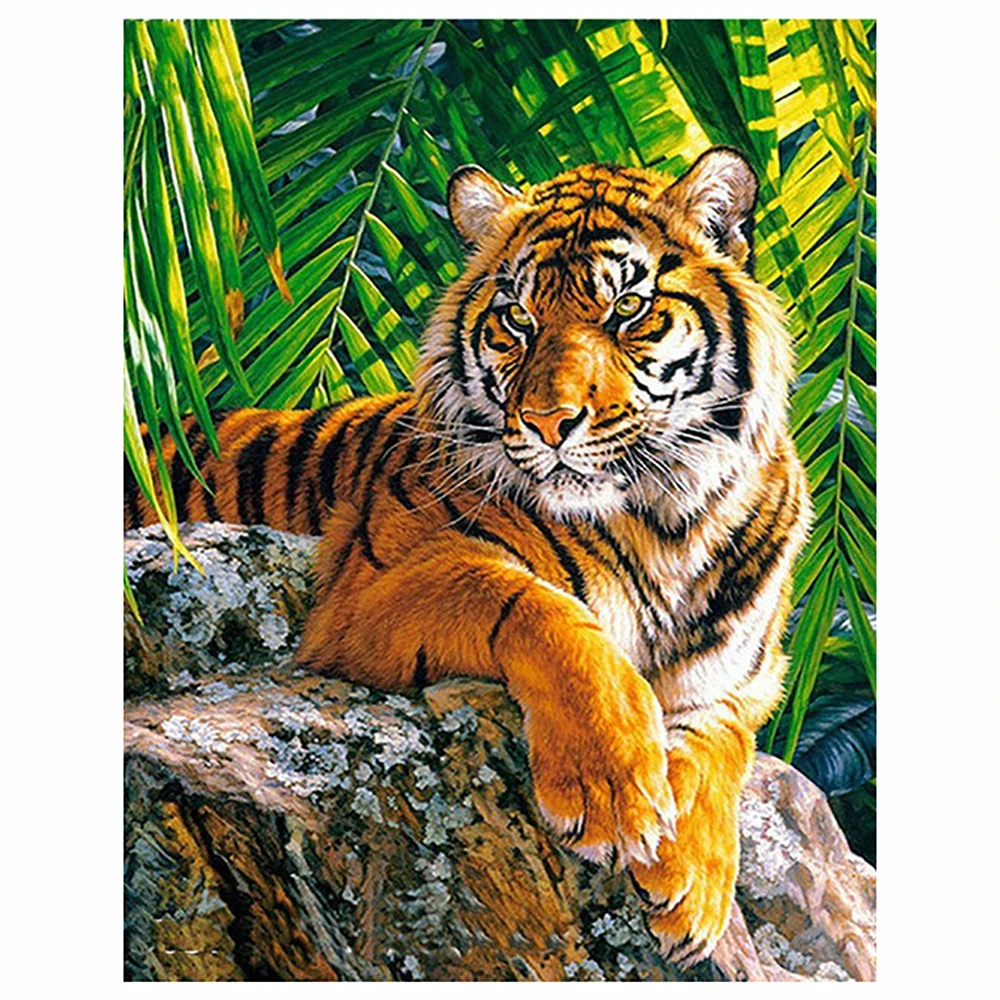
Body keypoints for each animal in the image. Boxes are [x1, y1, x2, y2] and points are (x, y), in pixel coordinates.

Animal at [125, 148, 810, 968]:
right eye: (518, 318)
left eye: (626, 310)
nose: (548, 422)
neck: (666, 518)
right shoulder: (367, 589)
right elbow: (542, 609)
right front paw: (611, 788)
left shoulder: (749, 676)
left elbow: (721, 737)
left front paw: (698, 889)